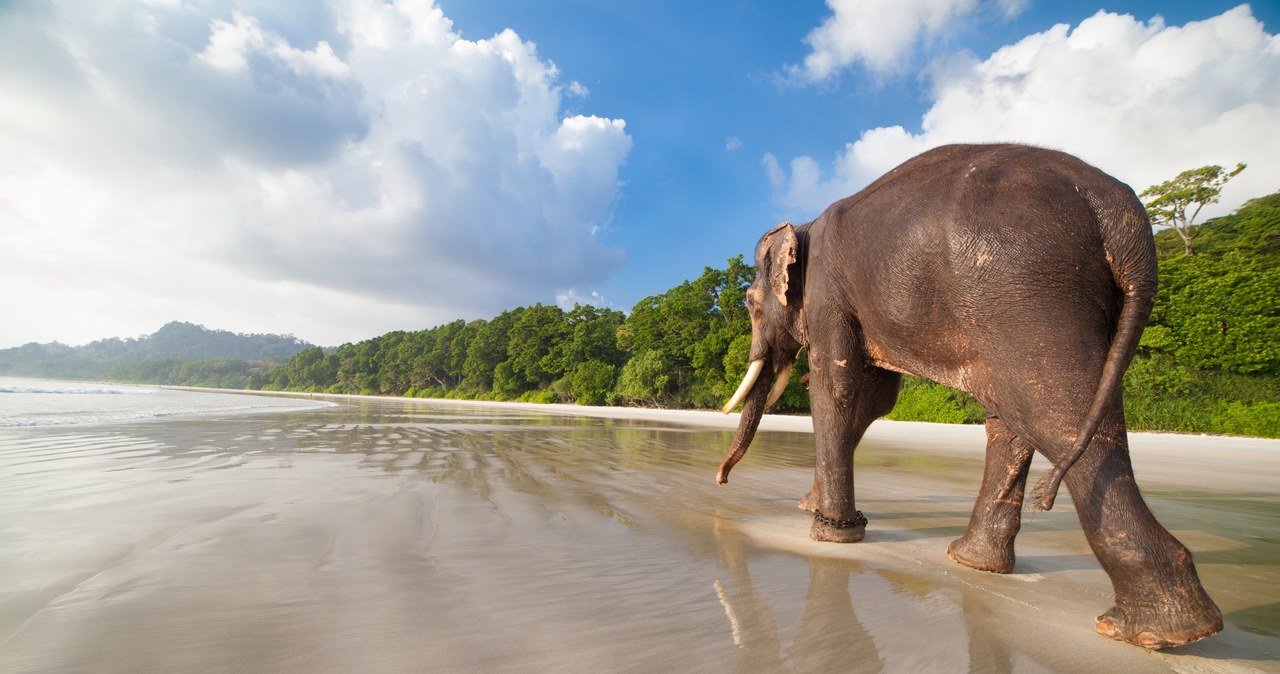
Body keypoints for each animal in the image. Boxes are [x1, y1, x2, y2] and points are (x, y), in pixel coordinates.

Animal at [716, 143, 1223, 649]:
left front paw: (828, 533)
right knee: (1021, 415)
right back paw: (977, 563)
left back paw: (1158, 632)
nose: (720, 480)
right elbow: (873, 399)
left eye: (749, 304)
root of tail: (1117, 210)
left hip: (1022, 287)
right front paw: (814, 509)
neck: (802, 225)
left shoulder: (828, 293)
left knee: (1053, 412)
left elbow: (838, 387)